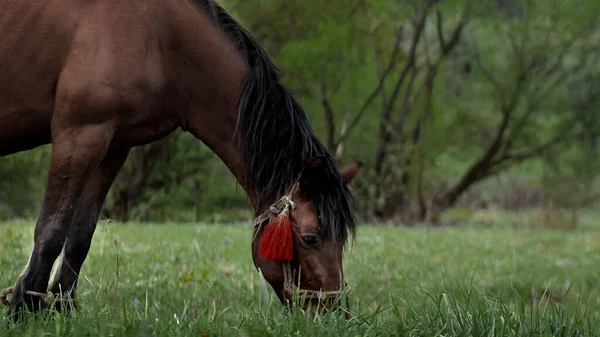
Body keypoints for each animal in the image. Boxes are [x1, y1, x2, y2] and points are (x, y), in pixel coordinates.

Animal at [0, 0, 360, 318]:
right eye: (311, 238)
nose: (334, 311)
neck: (156, 37)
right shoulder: (79, 135)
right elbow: (51, 228)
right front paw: (24, 309)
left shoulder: (113, 144)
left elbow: (80, 234)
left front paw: (61, 309)